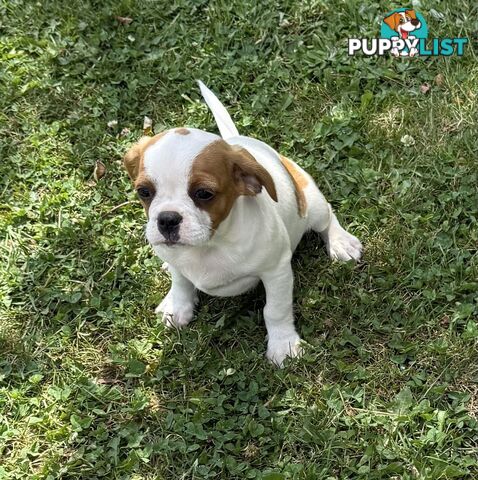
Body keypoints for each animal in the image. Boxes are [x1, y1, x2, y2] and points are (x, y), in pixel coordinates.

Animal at [123, 83, 362, 368]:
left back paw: (340, 241)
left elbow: (275, 310)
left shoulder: (276, 271)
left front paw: (283, 344)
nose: (167, 219)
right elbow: (180, 280)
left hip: (312, 205)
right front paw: (178, 306)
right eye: (144, 192)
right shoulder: (178, 261)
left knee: (327, 217)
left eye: (204, 193)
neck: (211, 244)